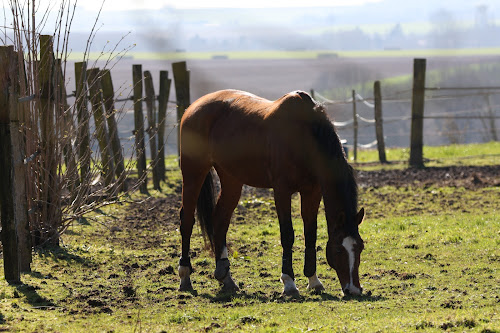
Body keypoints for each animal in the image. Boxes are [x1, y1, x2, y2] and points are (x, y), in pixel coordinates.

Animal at [178, 89, 366, 296]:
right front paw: (289, 283)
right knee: (187, 221)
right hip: (193, 172)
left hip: (231, 178)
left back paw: (226, 278)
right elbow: (287, 235)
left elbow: (311, 233)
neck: (304, 136)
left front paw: (313, 281)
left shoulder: (312, 192)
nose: (353, 289)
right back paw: (185, 277)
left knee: (220, 220)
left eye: (360, 247)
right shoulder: (282, 191)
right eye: (339, 250)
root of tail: (193, 108)